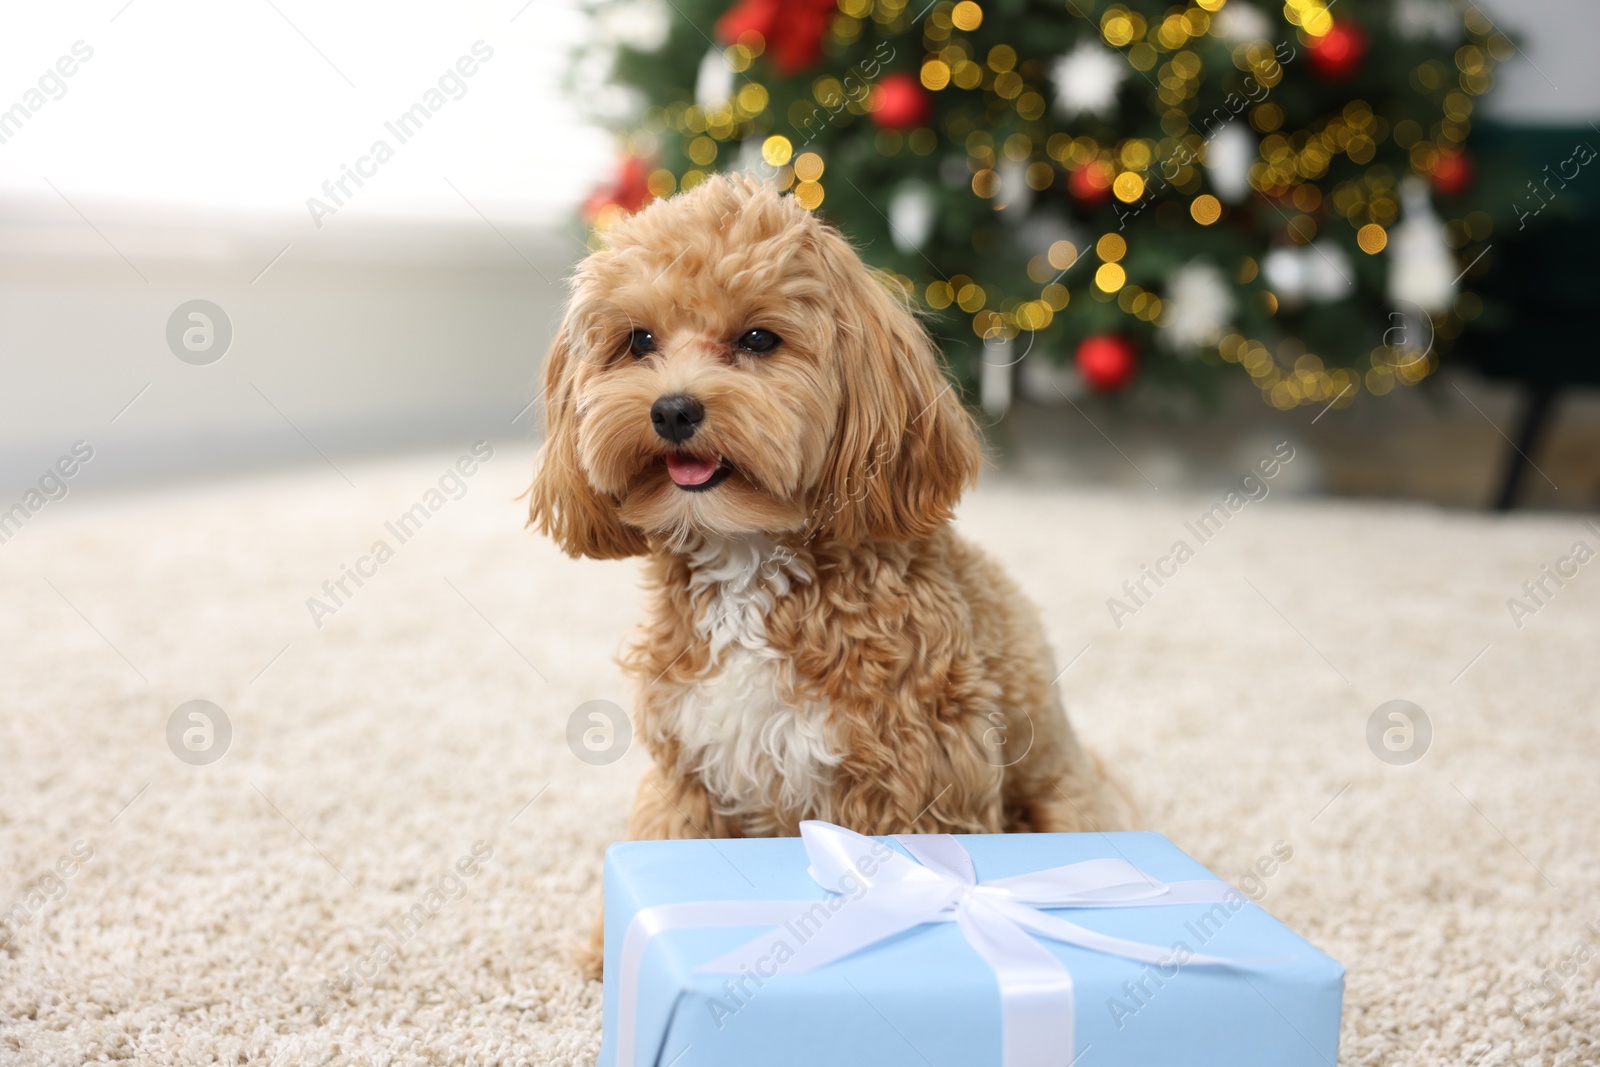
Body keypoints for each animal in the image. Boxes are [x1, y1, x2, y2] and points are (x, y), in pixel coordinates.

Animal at [531, 177, 1132, 985]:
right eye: (639, 342)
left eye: (759, 339)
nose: (673, 408)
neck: (749, 561)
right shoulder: (689, 764)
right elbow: (663, 831)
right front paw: (609, 946)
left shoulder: (914, 778)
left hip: (1059, 801)